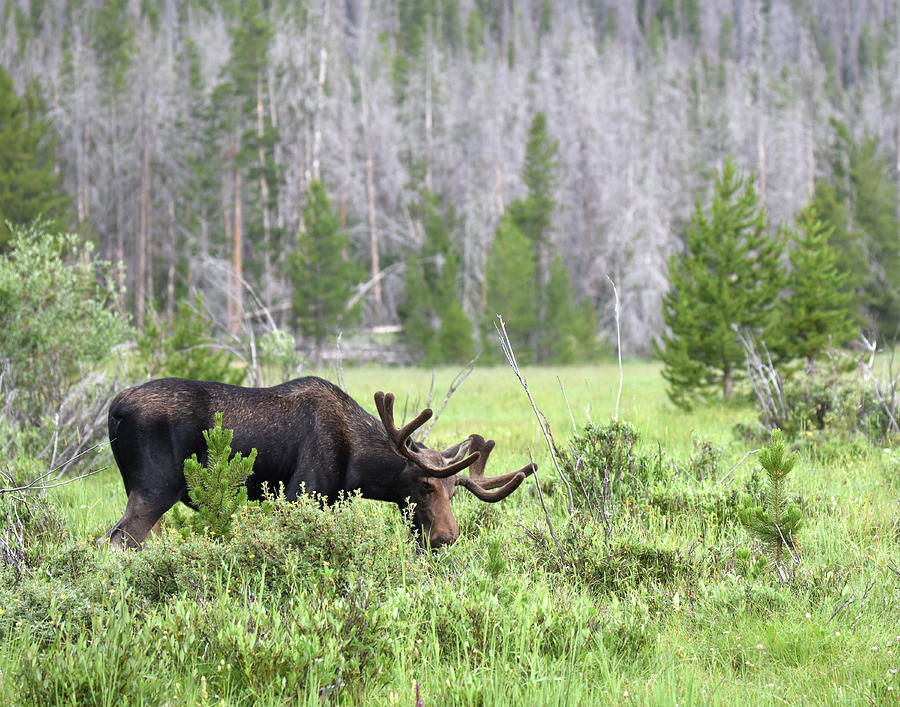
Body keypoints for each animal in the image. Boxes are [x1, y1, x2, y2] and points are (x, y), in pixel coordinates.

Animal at [103, 378, 536, 552]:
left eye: (452, 492)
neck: (359, 469)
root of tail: (115, 407)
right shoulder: (300, 493)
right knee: (117, 540)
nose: (446, 537)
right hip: (154, 487)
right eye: (424, 485)